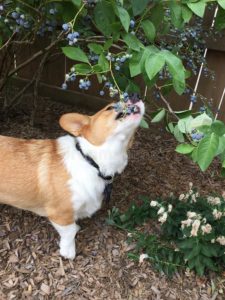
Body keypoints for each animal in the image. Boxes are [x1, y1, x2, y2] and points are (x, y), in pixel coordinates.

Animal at [0, 97, 144, 258]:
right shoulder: (60, 214)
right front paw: (68, 251)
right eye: (109, 107)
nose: (135, 95)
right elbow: (69, 233)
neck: (91, 161)